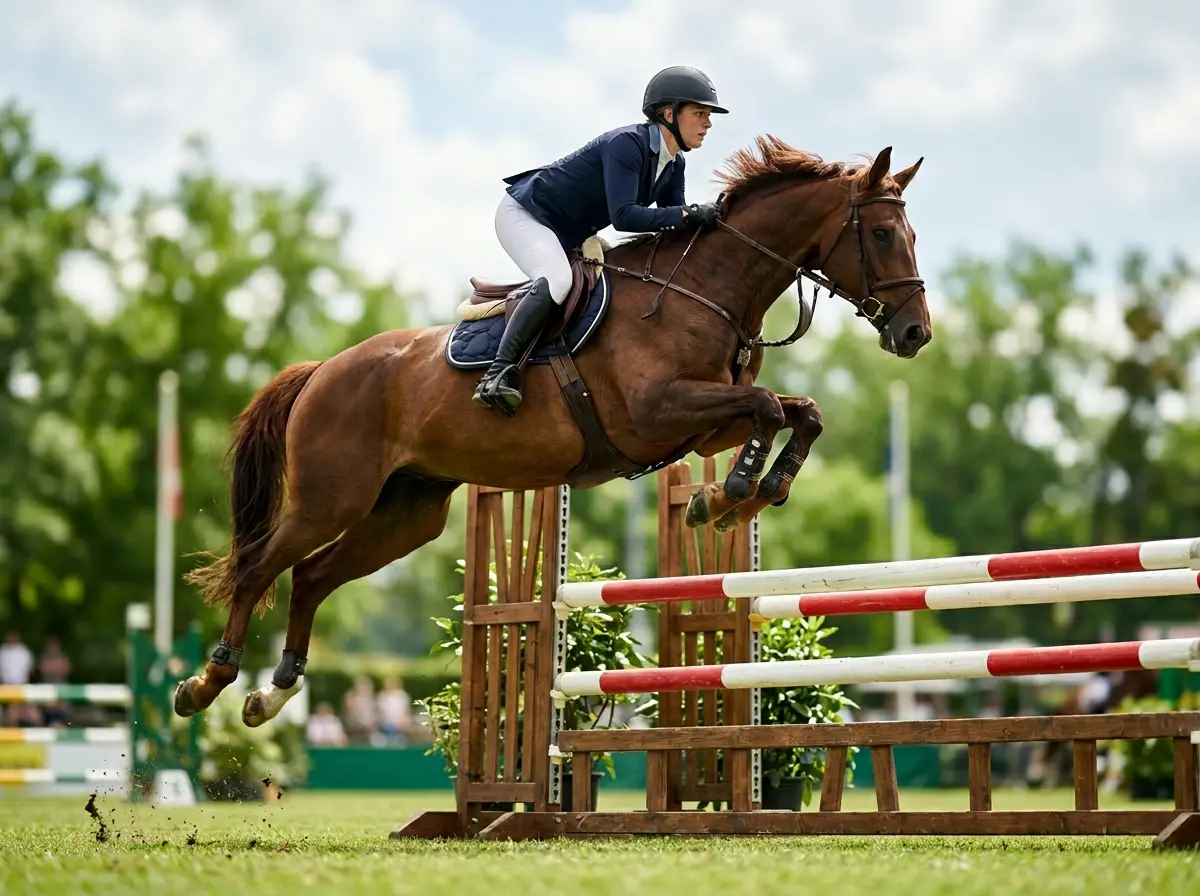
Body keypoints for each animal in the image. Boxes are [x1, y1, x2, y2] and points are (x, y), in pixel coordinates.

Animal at [174, 136, 931, 728]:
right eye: (883, 234)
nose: (916, 334)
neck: (706, 291)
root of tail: (324, 368)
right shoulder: (661, 412)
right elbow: (772, 408)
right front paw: (729, 495)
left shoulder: (704, 426)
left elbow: (800, 412)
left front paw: (741, 493)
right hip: (331, 498)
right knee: (259, 568)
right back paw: (207, 685)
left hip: (405, 513)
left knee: (310, 576)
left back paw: (271, 695)